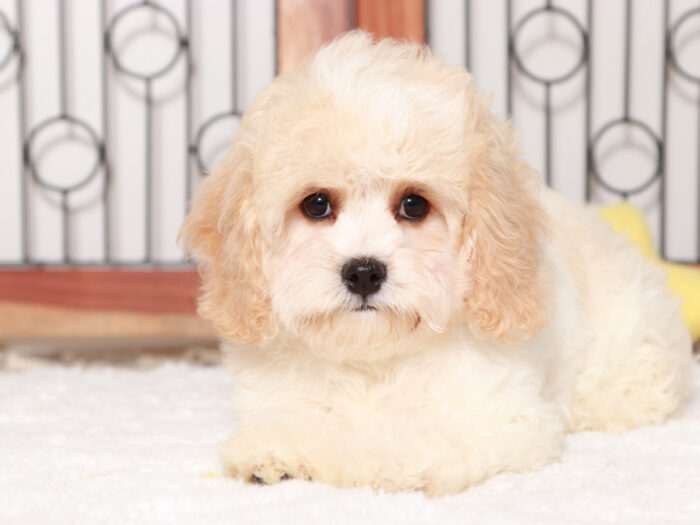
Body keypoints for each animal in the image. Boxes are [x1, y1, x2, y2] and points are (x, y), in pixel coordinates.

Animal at [178, 30, 692, 494]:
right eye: (317, 204)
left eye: (414, 205)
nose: (363, 272)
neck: (373, 362)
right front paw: (270, 451)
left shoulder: (496, 419)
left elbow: (384, 441)